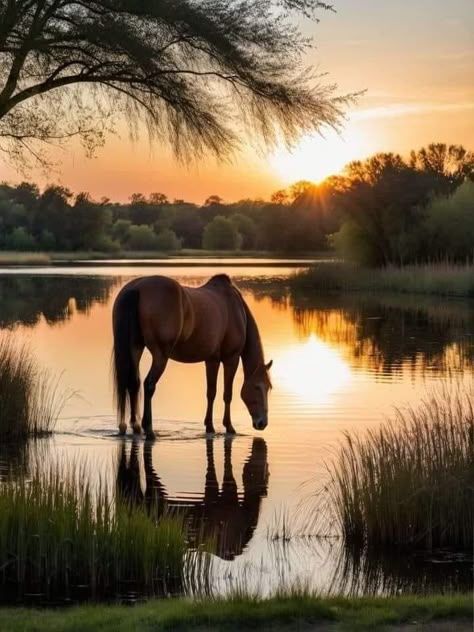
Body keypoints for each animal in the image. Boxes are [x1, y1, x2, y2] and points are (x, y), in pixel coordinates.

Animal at [111, 274, 272, 442]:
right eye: (259, 386)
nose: (262, 423)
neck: (236, 309)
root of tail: (136, 288)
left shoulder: (211, 360)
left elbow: (211, 393)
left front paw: (209, 426)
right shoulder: (230, 359)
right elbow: (227, 394)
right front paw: (229, 426)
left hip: (135, 348)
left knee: (132, 383)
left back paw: (132, 427)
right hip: (160, 356)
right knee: (148, 385)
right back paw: (149, 430)